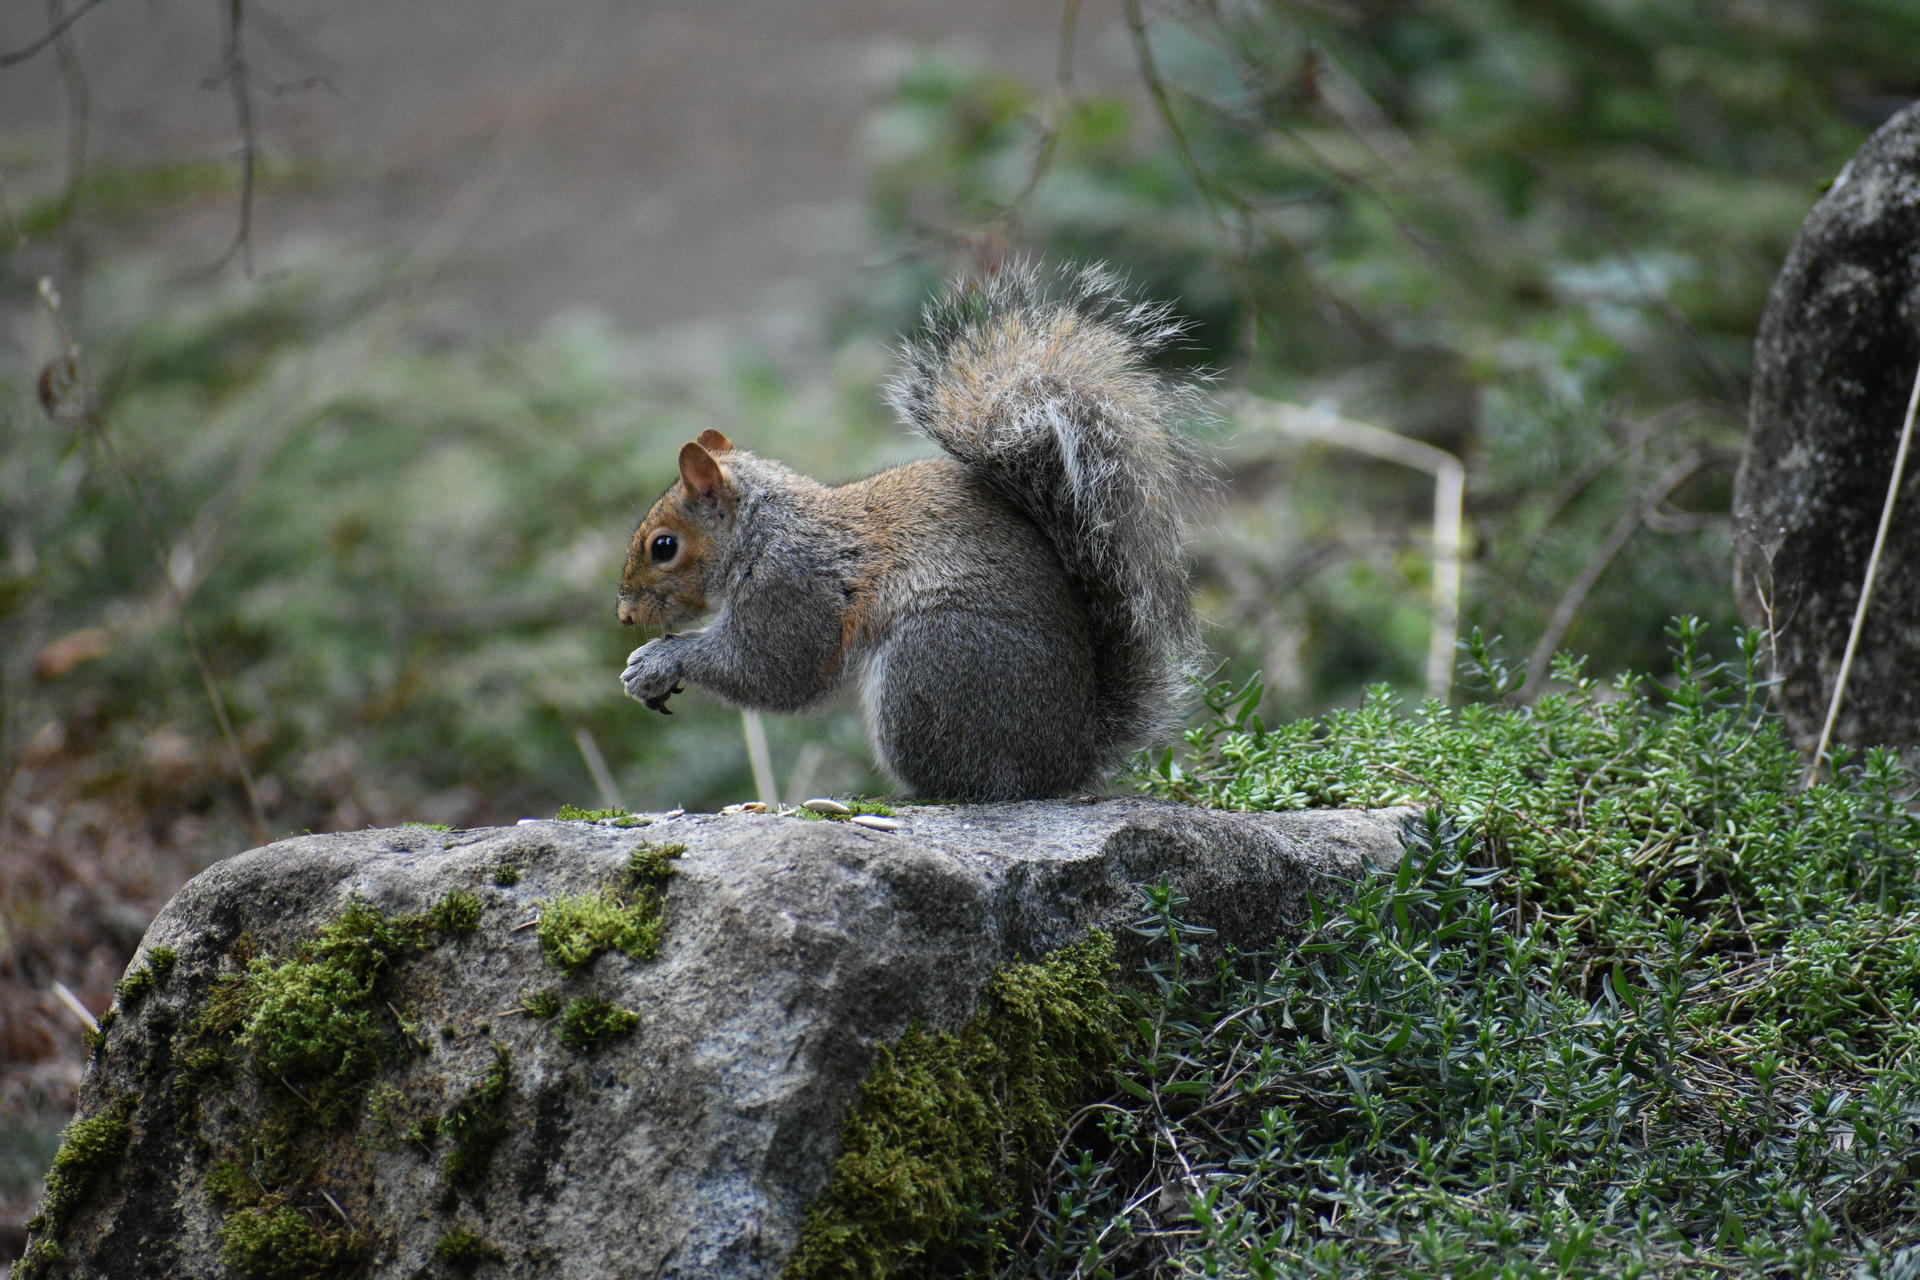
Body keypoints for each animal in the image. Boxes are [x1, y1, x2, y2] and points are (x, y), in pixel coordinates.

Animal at [615, 261, 1212, 801]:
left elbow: (773, 671)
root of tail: (1070, 756)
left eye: (663, 546)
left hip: (932, 661)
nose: (623, 615)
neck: (762, 530)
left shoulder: (792, 586)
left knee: (972, 781)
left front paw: (658, 660)